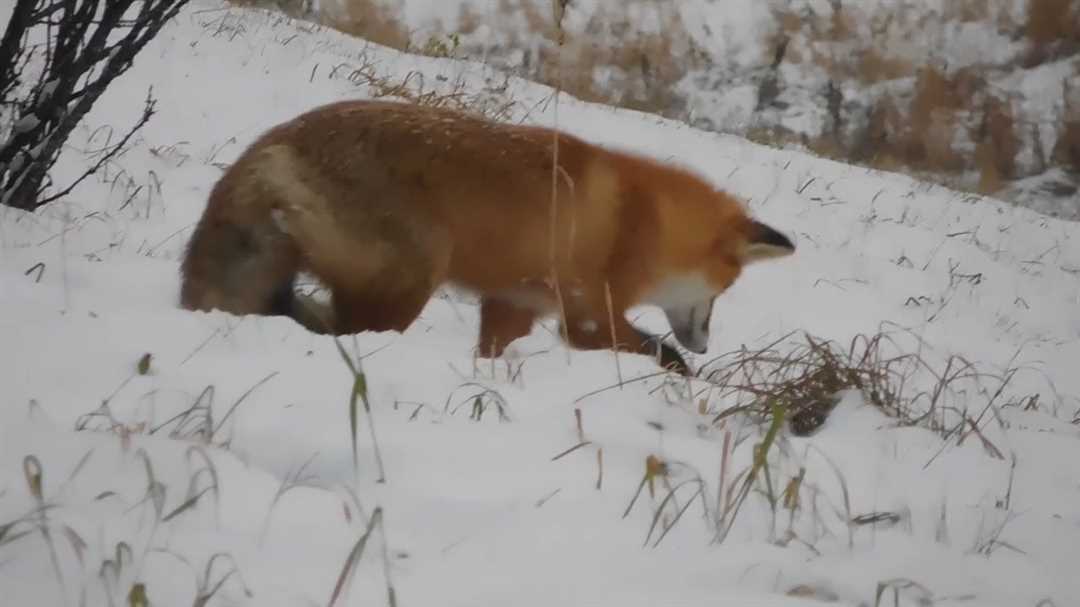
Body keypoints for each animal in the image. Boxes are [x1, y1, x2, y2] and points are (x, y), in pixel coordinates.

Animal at [179, 98, 794, 371]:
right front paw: (689, 376)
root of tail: (275, 143)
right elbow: (660, 354)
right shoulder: (588, 317)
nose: (707, 343)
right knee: (345, 332)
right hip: (410, 282)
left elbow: (492, 353)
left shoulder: (511, 305)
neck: (645, 218)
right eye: (724, 290)